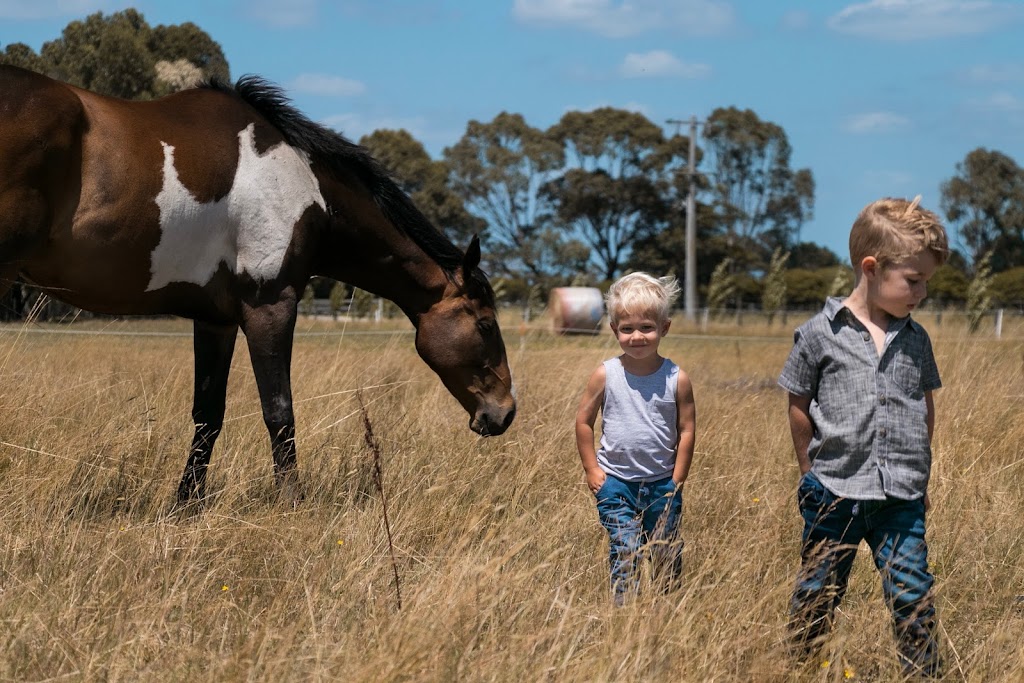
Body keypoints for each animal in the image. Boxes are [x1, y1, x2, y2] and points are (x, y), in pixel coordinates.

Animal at [0, 66, 516, 505]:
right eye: (486, 325)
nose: (505, 412)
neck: (309, 191)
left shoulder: (216, 320)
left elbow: (208, 415)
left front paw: (186, 504)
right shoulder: (271, 306)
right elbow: (279, 411)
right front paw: (292, 504)